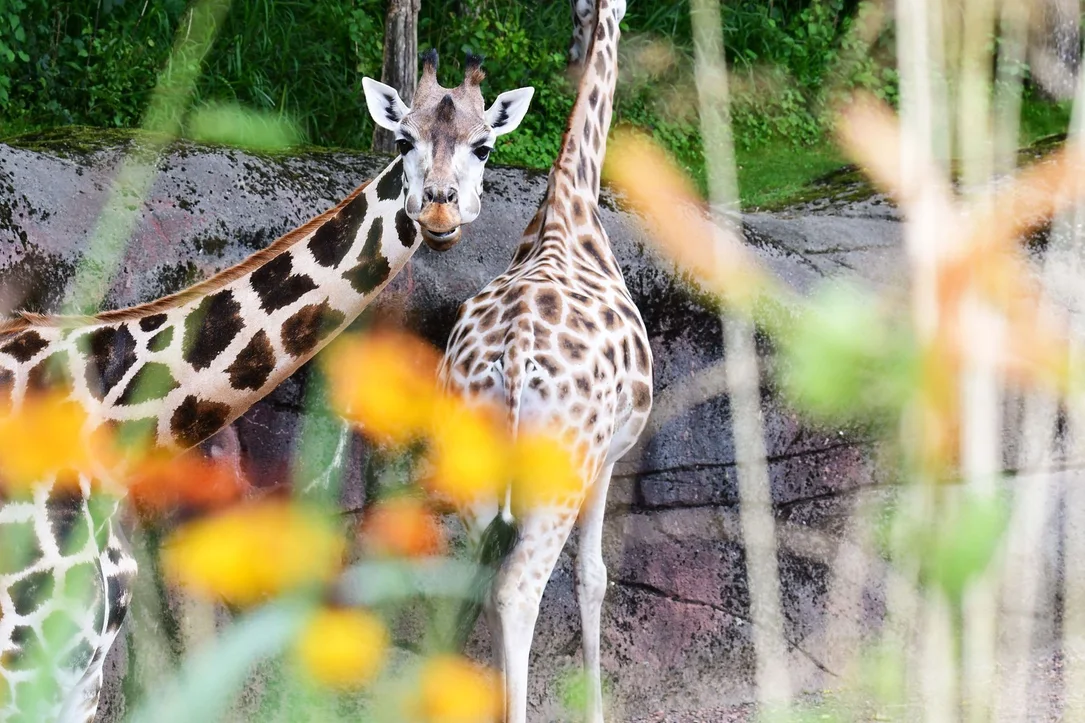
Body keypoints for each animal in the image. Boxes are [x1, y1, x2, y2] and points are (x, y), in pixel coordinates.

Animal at [0, 52, 534, 723]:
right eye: (404, 140)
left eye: (484, 146)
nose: (439, 212)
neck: (105, 418)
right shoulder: (27, 662)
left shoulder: (77, 679)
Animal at [439, 1, 649, 721]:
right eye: (583, 15)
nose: (570, 50)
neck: (570, 205)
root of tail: (514, 355)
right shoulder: (607, 459)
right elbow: (594, 576)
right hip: (557, 474)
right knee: (516, 591)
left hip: (472, 476)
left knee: (459, 586)